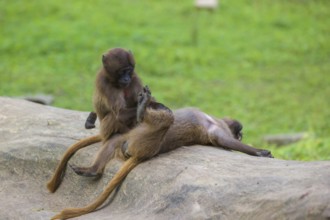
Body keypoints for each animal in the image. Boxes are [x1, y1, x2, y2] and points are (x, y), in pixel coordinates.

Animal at [50, 87, 272, 219]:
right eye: (240, 133)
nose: (241, 136)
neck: (216, 119)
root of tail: (144, 152)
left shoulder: (218, 130)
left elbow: (223, 140)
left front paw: (258, 152)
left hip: (143, 139)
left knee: (164, 120)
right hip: (133, 137)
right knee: (114, 140)